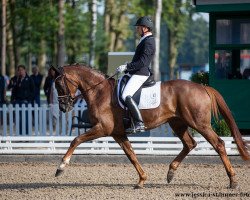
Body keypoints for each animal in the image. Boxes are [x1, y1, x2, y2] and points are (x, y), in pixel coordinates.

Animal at [52, 64, 248, 189]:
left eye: (59, 84)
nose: (63, 107)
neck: (99, 92)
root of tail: (202, 87)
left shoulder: (102, 129)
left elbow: (76, 140)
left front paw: (61, 167)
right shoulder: (118, 133)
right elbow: (131, 155)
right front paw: (141, 180)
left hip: (199, 123)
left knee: (219, 144)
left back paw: (233, 181)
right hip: (177, 123)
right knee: (190, 144)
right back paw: (171, 172)